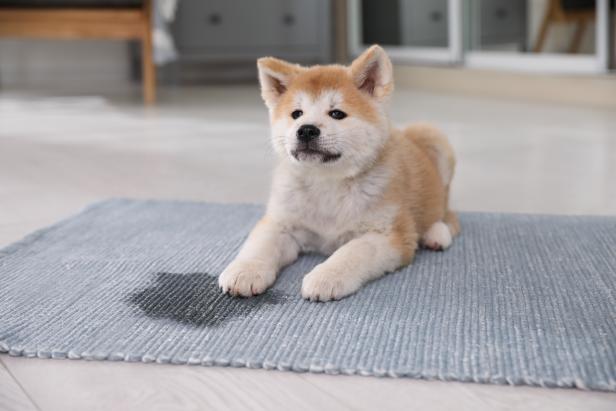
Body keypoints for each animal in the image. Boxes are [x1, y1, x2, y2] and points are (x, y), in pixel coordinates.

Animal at [219, 45, 460, 302]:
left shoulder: (390, 235)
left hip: (433, 138)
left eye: (336, 114)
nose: (306, 130)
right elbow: (260, 245)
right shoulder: (281, 223)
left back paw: (436, 233)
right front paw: (245, 271)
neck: (327, 183)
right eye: (296, 114)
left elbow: (353, 251)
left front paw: (326, 276)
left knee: (445, 210)